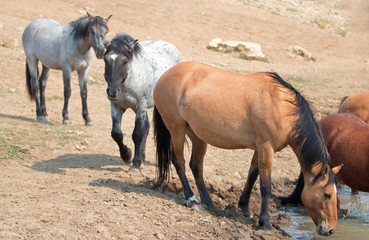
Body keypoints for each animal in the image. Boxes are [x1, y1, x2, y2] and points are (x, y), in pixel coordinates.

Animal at [103, 33, 180, 169]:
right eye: (105, 60)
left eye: (125, 61)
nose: (112, 91)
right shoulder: (116, 106)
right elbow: (116, 133)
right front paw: (127, 156)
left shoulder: (140, 106)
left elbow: (137, 134)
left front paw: (136, 163)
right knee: (146, 127)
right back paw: (142, 158)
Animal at [152, 61, 340, 235]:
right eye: (327, 194)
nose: (330, 230)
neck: (282, 107)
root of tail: (165, 75)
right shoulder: (266, 148)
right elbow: (265, 186)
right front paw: (265, 222)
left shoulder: (259, 148)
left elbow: (252, 175)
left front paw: (244, 208)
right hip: (176, 129)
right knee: (179, 162)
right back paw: (192, 200)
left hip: (197, 135)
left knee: (196, 166)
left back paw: (208, 202)